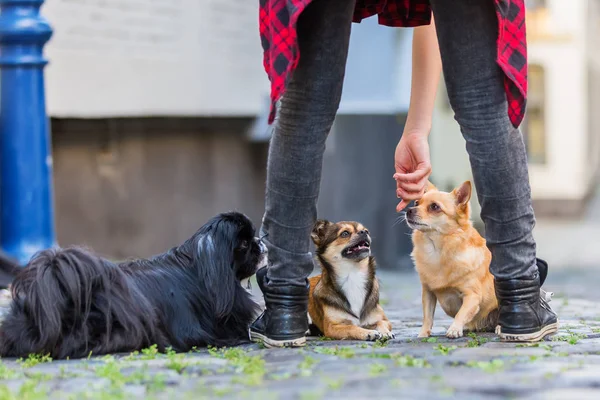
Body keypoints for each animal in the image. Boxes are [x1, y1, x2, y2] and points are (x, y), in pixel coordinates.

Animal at [408, 181, 496, 338]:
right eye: (416, 202)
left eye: (434, 207)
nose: (409, 210)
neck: (437, 250)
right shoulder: (428, 293)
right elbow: (427, 316)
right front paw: (423, 333)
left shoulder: (472, 296)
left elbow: (461, 313)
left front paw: (454, 329)